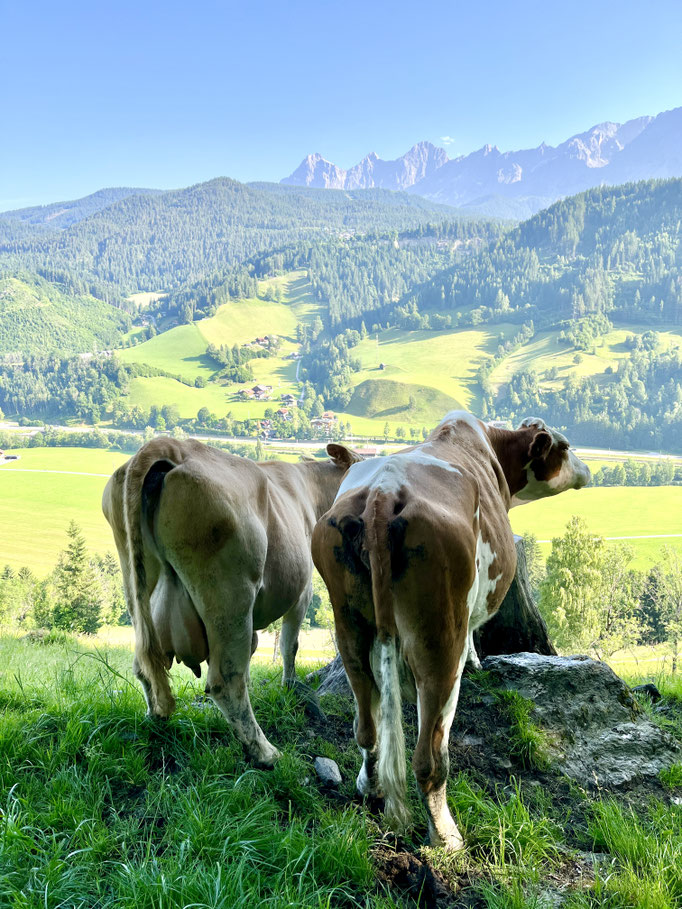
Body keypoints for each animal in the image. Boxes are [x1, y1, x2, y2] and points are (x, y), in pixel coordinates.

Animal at [102, 437, 362, 768]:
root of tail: (170, 446)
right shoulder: (301, 592)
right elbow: (289, 645)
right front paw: (289, 687)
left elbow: (254, 650)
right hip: (231, 593)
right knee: (224, 679)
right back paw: (265, 752)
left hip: (136, 585)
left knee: (145, 664)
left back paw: (156, 718)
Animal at [311, 412, 590, 850]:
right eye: (564, 446)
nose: (587, 470)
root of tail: (382, 493)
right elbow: (476, 629)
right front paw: (477, 659)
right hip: (439, 639)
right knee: (429, 757)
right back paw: (446, 838)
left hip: (349, 624)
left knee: (367, 728)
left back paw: (370, 788)